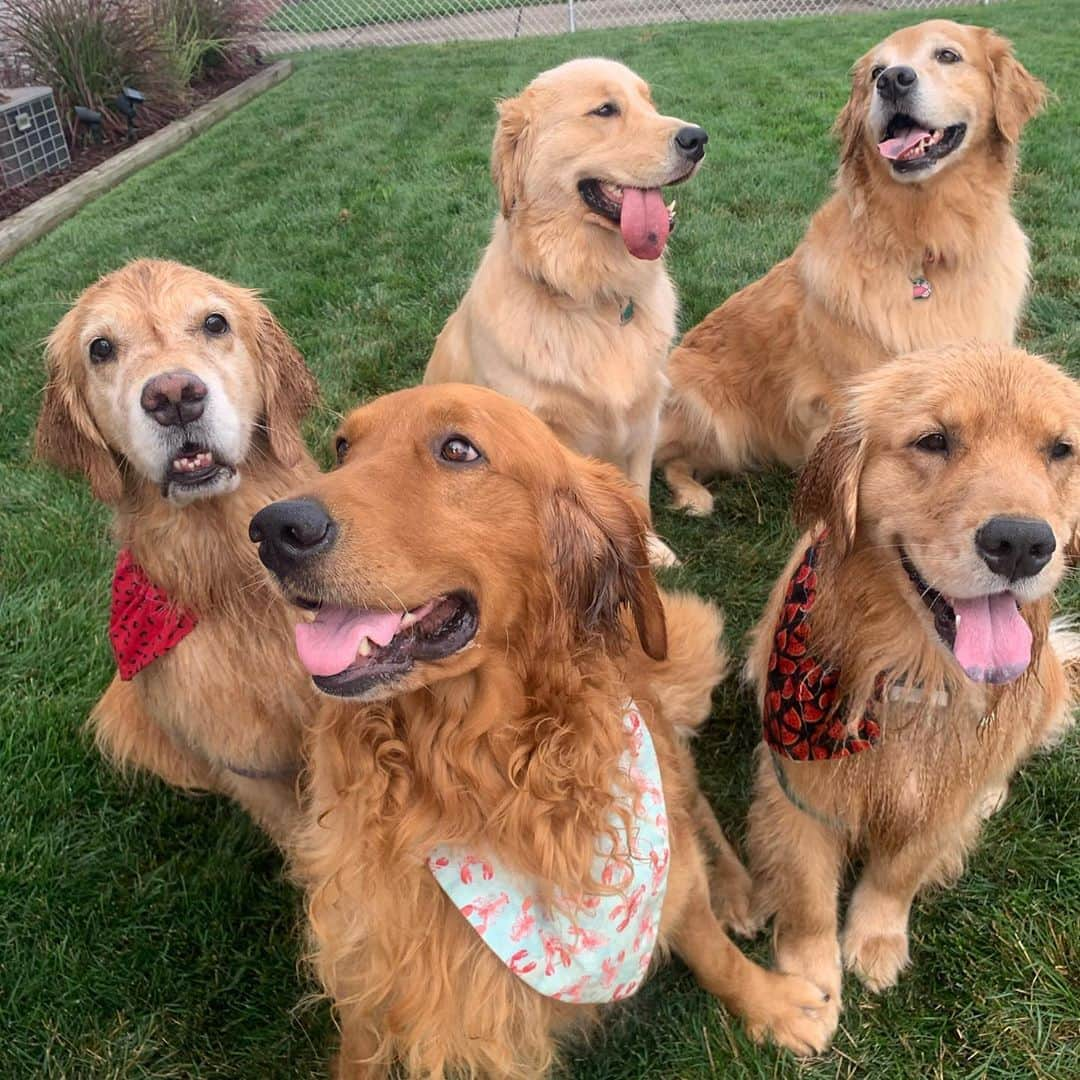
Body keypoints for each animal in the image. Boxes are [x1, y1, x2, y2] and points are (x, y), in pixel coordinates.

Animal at [250, 384, 833, 1075]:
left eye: (457, 450)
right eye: (342, 448)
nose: (272, 529)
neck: (480, 767)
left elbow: (710, 945)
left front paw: (771, 1003)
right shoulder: (371, 963)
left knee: (694, 806)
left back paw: (736, 889)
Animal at [421, 59, 708, 565]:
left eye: (649, 102)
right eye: (605, 109)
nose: (698, 138)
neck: (592, 296)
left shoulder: (644, 415)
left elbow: (636, 497)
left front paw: (649, 553)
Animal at [656, 22, 1045, 514]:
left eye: (948, 55)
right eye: (877, 70)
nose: (893, 80)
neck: (924, 244)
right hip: (710, 416)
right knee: (668, 460)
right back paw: (692, 495)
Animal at [747, 341, 1075, 1049]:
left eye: (1061, 450)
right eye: (933, 440)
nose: (1021, 542)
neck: (912, 676)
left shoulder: (939, 800)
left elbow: (898, 873)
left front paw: (875, 939)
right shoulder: (799, 788)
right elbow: (807, 896)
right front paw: (808, 989)